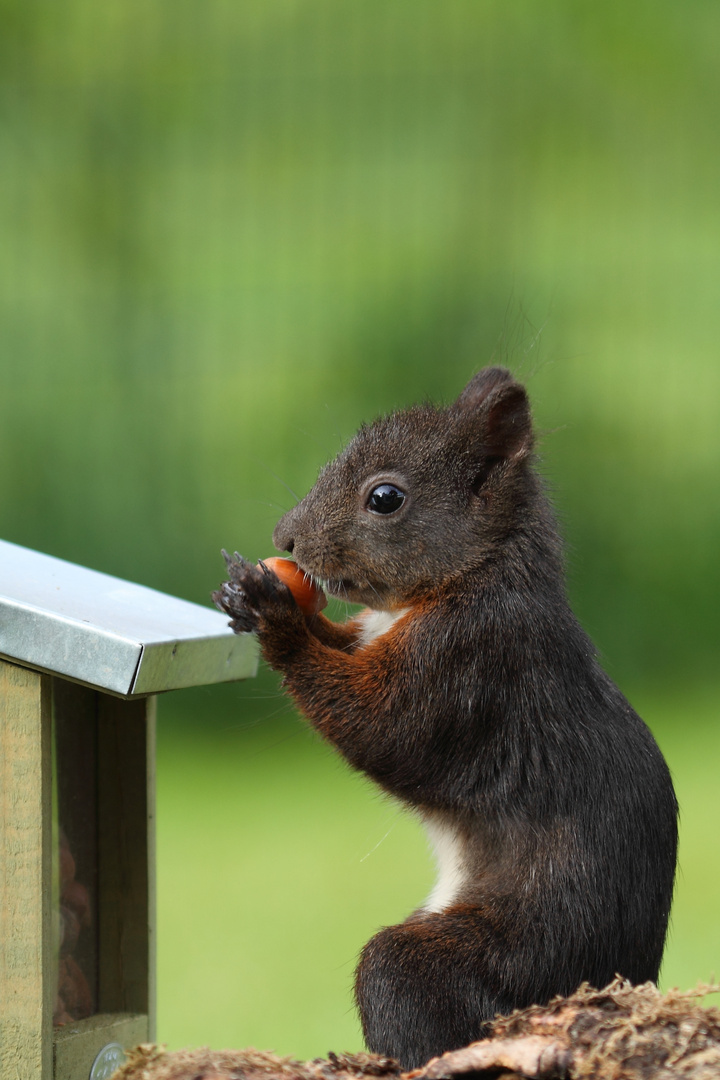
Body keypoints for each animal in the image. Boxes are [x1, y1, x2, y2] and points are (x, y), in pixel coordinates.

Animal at [211, 369, 677, 1071]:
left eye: (385, 498)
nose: (283, 540)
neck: (476, 572)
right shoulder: (376, 634)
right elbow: (343, 645)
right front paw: (245, 598)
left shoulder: (468, 663)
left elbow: (384, 726)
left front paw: (277, 618)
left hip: (490, 964)